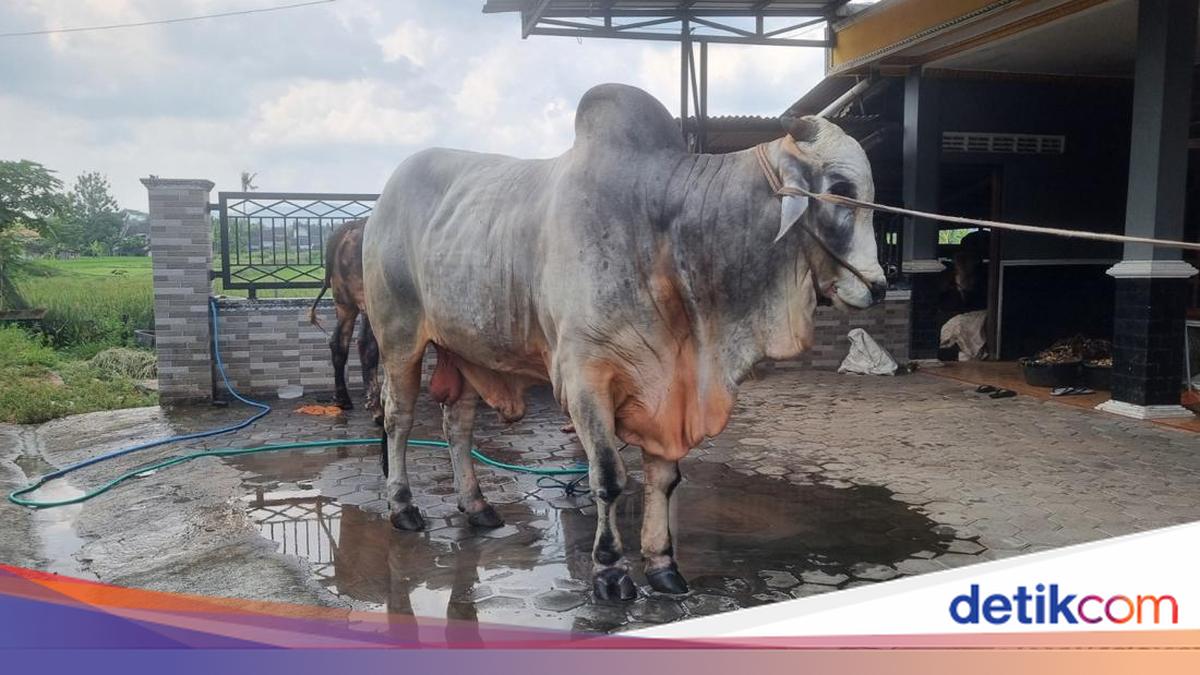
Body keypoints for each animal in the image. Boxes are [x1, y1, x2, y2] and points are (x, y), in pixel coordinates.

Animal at [308, 218, 382, 422]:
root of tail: (352, 225)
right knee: (367, 344)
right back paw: (377, 410)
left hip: (344, 302)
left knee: (338, 342)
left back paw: (342, 399)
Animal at [363, 83, 886, 601]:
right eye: (840, 189)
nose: (879, 286)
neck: (661, 229)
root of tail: (385, 197)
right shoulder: (584, 378)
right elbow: (610, 477)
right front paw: (610, 570)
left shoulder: (671, 382)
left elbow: (664, 478)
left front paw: (662, 566)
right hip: (399, 337)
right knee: (398, 418)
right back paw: (403, 507)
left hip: (468, 348)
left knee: (458, 424)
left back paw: (477, 508)